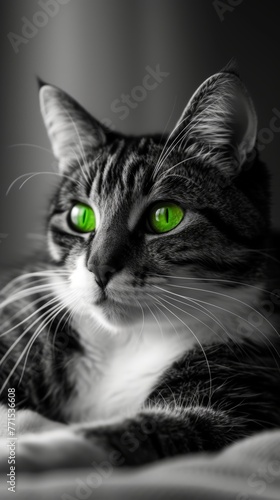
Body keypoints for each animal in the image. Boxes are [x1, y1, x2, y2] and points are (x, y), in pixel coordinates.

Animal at [0, 62, 280, 472]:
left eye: (165, 216)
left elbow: (141, 431)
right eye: (80, 216)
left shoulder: (240, 397)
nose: (99, 268)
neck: (131, 340)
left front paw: (25, 449)